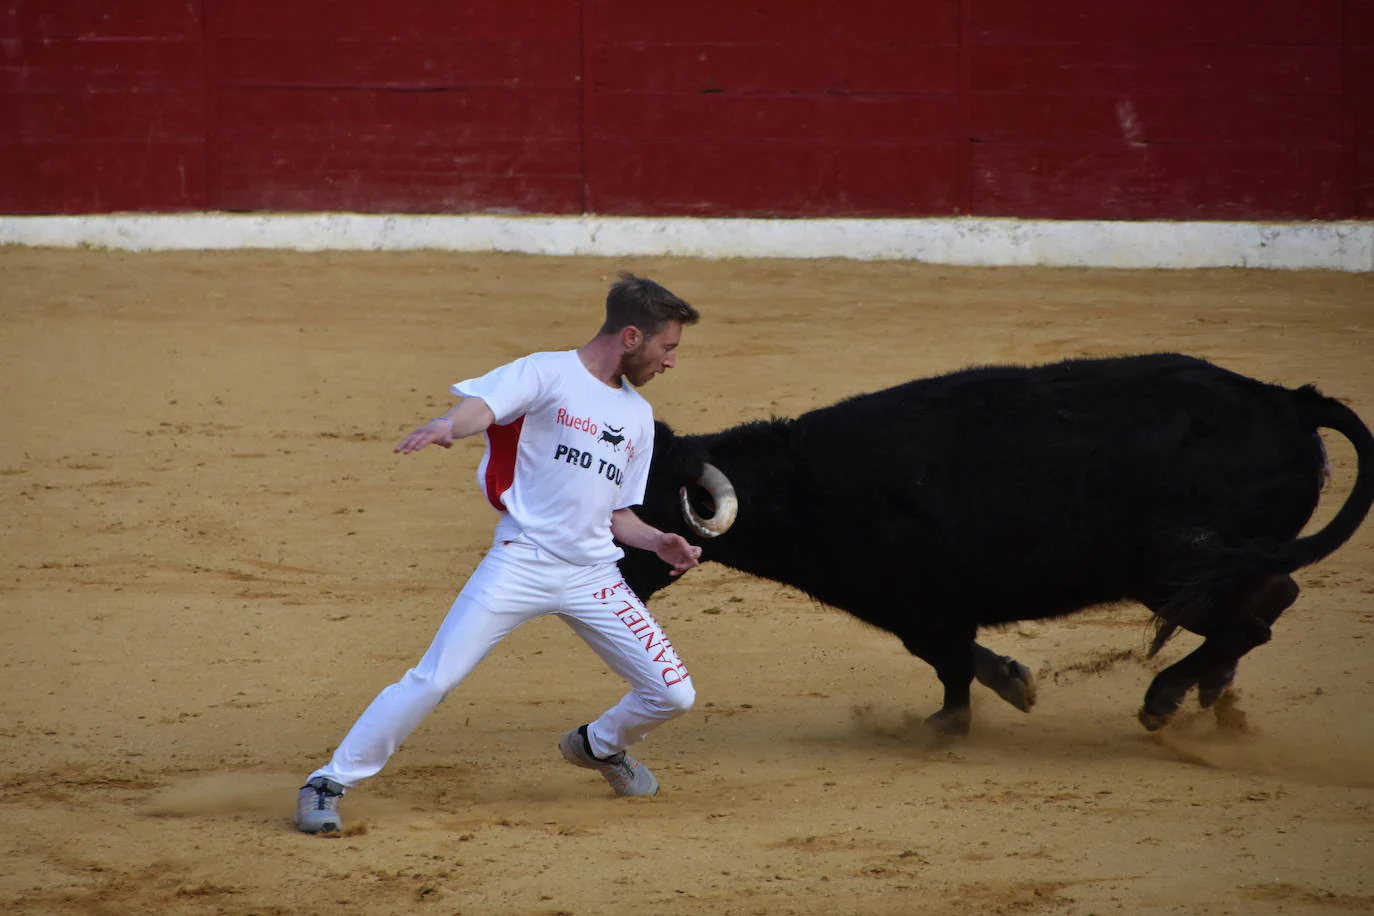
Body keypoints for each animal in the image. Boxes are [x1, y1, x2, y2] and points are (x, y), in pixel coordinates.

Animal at [618, 354, 1368, 736]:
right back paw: (1213, 696)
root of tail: (1287, 400)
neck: (812, 482)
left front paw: (947, 725)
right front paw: (1012, 682)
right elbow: (963, 658)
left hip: (1178, 572)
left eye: (641, 512)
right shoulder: (924, 610)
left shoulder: (924, 605)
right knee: (1268, 602)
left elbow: (950, 667)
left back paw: (1166, 699)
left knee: (1254, 616)